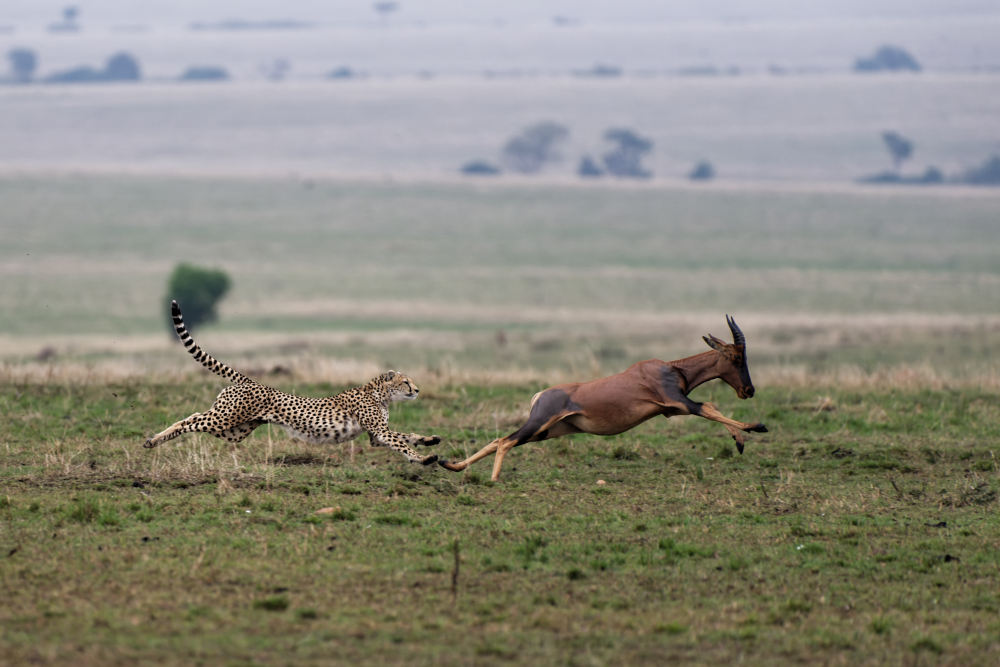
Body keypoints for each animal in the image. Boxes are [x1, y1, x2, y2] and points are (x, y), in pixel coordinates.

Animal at [143, 302, 440, 464]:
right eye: (405, 381)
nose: (417, 390)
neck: (379, 393)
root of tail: (251, 381)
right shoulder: (379, 431)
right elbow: (402, 443)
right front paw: (423, 459)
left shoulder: (376, 436)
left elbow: (406, 435)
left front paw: (429, 440)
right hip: (226, 419)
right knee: (189, 420)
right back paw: (153, 440)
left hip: (235, 430)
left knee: (193, 417)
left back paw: (154, 441)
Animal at [438, 318, 764, 480]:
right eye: (736, 357)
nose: (749, 391)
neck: (671, 369)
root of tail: (540, 394)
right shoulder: (678, 403)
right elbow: (708, 407)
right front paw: (754, 428)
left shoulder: (674, 409)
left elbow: (710, 408)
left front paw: (739, 440)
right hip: (539, 424)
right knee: (505, 441)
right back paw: (492, 479)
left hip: (546, 431)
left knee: (498, 440)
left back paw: (452, 466)